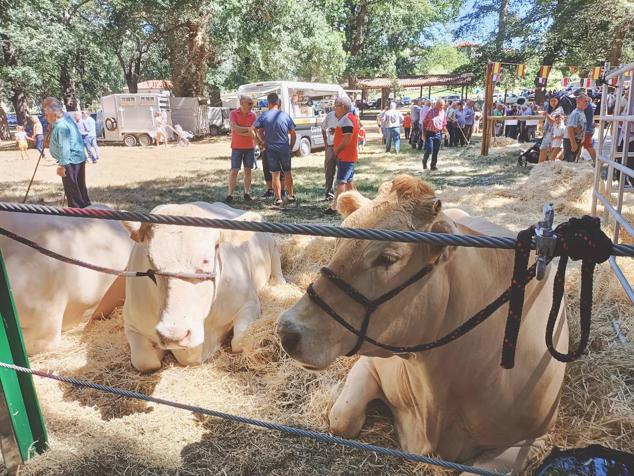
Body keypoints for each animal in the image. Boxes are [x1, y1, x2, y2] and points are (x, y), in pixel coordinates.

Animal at [121, 201, 284, 372]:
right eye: (150, 259)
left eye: (206, 259)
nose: (174, 335)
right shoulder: (131, 323)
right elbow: (145, 361)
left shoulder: (249, 303)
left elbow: (239, 342)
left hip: (273, 246)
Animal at [278, 177, 564, 474]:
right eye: (338, 241)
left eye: (389, 258)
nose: (287, 331)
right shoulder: (370, 364)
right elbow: (341, 419)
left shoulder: (532, 439)